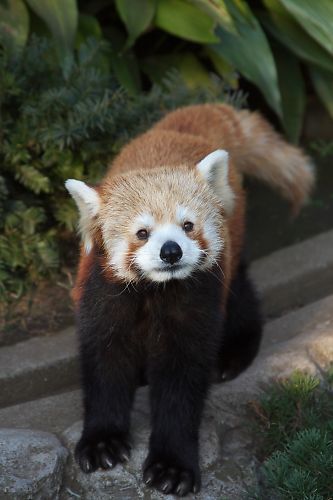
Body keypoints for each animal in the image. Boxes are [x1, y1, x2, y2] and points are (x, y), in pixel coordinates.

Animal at [65, 103, 314, 498]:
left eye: (187, 225)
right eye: (142, 232)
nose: (171, 251)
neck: (155, 290)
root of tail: (178, 128)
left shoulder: (196, 301)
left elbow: (181, 385)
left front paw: (172, 465)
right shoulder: (102, 294)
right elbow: (105, 365)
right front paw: (102, 441)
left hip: (230, 256)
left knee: (240, 298)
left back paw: (234, 354)